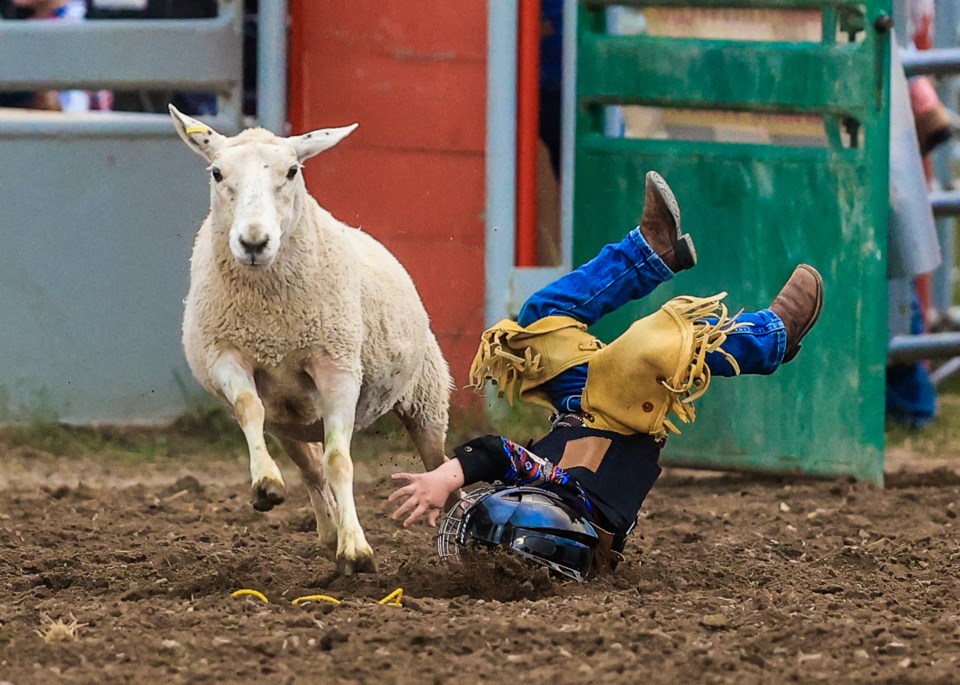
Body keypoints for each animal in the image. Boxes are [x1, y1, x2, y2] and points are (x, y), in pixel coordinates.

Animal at [170, 104, 454, 572]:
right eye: (216, 172)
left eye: (292, 171)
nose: (253, 242)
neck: (271, 320)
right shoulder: (226, 353)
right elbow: (249, 409)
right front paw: (266, 484)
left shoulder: (337, 365)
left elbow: (341, 461)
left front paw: (357, 550)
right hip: (290, 422)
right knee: (310, 468)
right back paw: (327, 529)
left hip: (426, 398)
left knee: (438, 463)